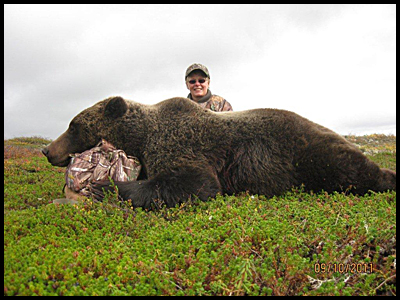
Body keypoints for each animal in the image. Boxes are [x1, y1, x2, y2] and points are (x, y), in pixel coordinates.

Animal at [42, 96, 396, 209]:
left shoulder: (179, 142)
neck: (141, 136)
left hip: (312, 154)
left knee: (353, 171)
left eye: (73, 125)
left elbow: (197, 183)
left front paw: (103, 188)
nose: (47, 149)